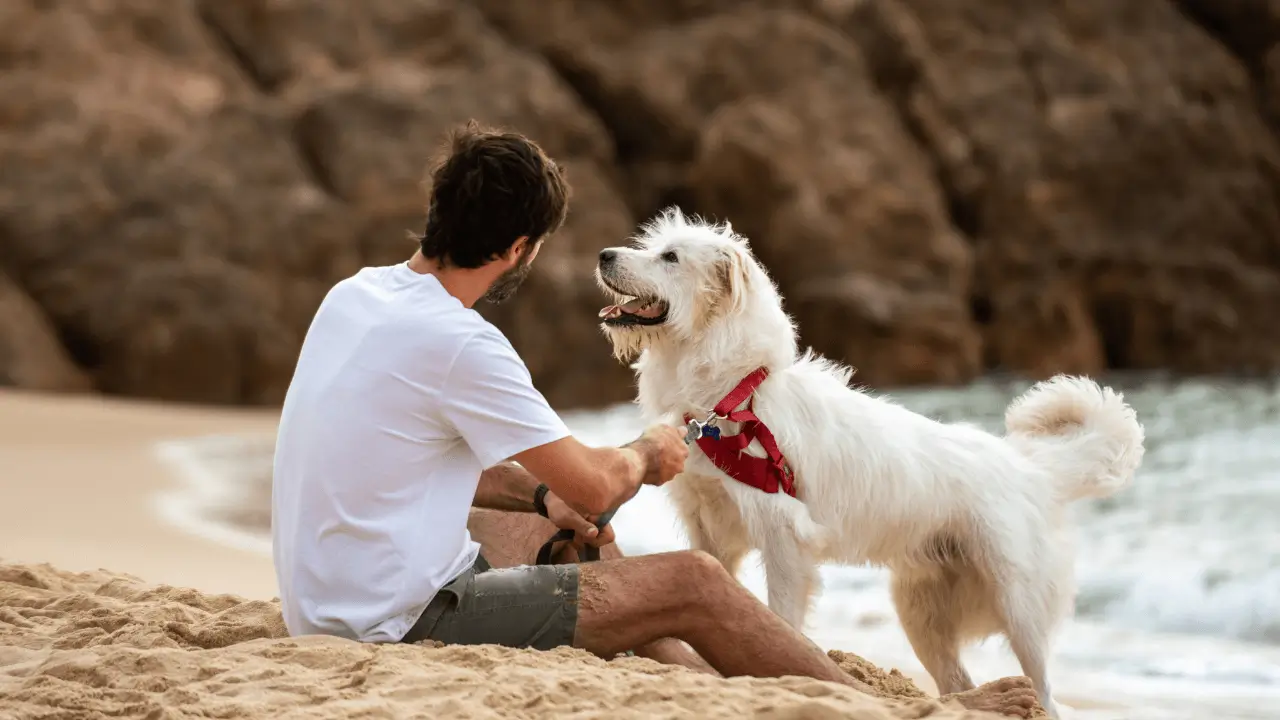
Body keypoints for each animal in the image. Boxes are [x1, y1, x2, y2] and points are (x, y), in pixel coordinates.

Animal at [593, 206, 1146, 712]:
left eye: (670, 257)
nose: (603, 255)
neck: (734, 399)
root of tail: (1033, 468)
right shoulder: (709, 533)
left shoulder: (784, 539)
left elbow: (780, 619)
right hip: (921, 613)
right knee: (956, 684)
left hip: (1019, 608)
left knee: (1046, 693)